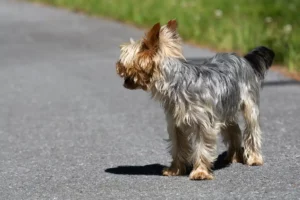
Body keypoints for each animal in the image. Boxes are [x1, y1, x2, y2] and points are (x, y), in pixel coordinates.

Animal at [115, 19, 274, 180]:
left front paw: (200, 172)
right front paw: (175, 170)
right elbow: (178, 147)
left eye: (124, 58)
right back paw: (234, 156)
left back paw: (254, 158)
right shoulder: (176, 124)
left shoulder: (203, 124)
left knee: (252, 130)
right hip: (225, 107)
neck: (177, 82)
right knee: (233, 129)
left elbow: (202, 147)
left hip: (249, 105)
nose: (117, 65)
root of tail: (243, 59)